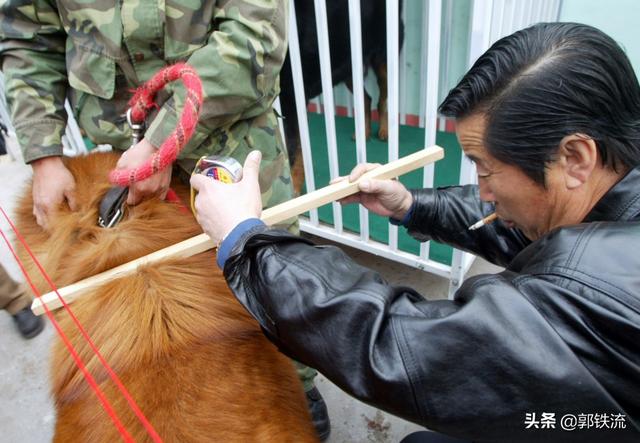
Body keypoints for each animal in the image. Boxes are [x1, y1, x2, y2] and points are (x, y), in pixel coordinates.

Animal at [278, 0, 402, 194]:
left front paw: (295, 192)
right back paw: (364, 132)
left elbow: (294, 153)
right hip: (348, 68)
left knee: (382, 99)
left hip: (384, 61)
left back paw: (384, 130)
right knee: (366, 99)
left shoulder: (291, 100)